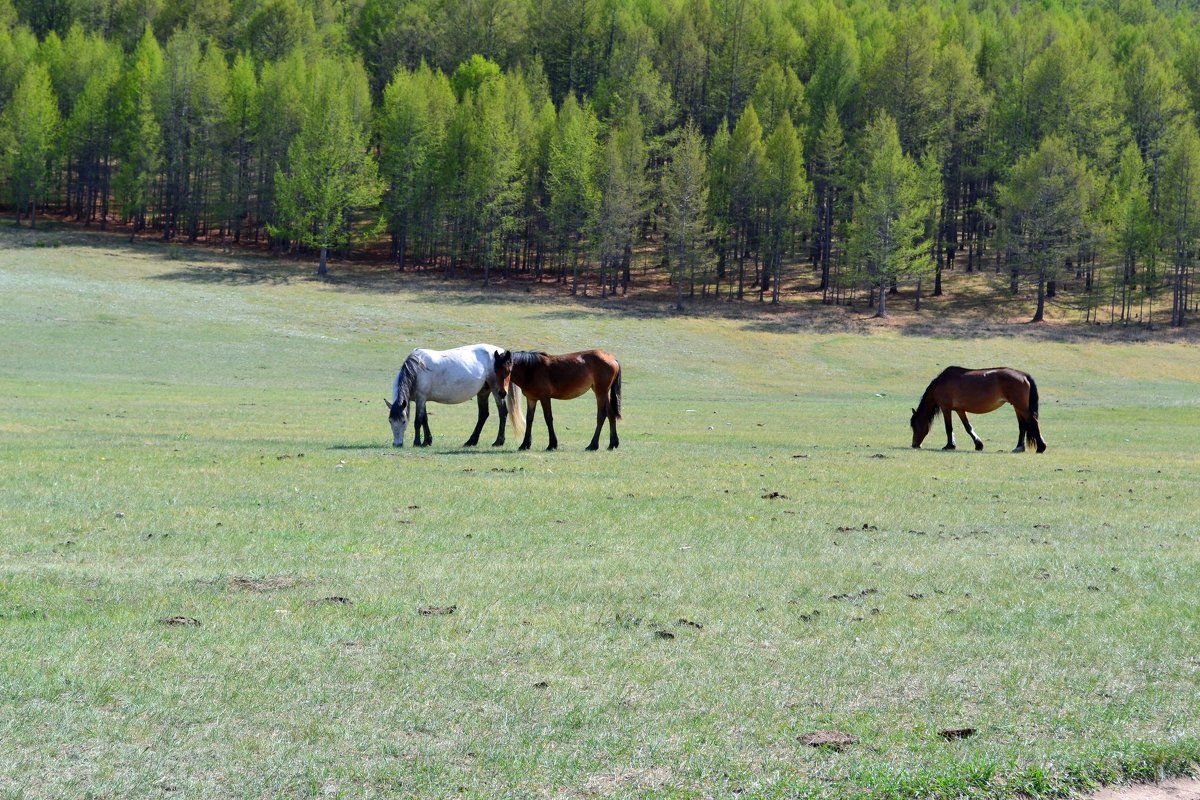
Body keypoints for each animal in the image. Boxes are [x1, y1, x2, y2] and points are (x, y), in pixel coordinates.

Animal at [384, 340, 516, 448]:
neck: (417, 369)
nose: (397, 444)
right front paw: (427, 441)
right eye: (390, 421)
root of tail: (501, 352)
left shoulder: (421, 398)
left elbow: (418, 421)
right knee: (483, 414)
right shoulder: (421, 399)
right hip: (483, 391)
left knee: (502, 412)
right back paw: (471, 441)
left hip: (497, 390)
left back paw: (498, 442)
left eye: (403, 421)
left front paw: (417, 443)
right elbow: (425, 419)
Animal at [912, 367, 1046, 453]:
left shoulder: (946, 409)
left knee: (1033, 422)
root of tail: (1023, 375)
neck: (941, 383)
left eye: (914, 426)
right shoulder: (960, 410)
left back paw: (1041, 447)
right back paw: (1019, 448)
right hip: (1017, 407)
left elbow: (949, 428)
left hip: (1021, 407)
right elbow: (968, 427)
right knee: (1022, 426)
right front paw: (978, 445)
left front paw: (950, 445)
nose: (914, 445)